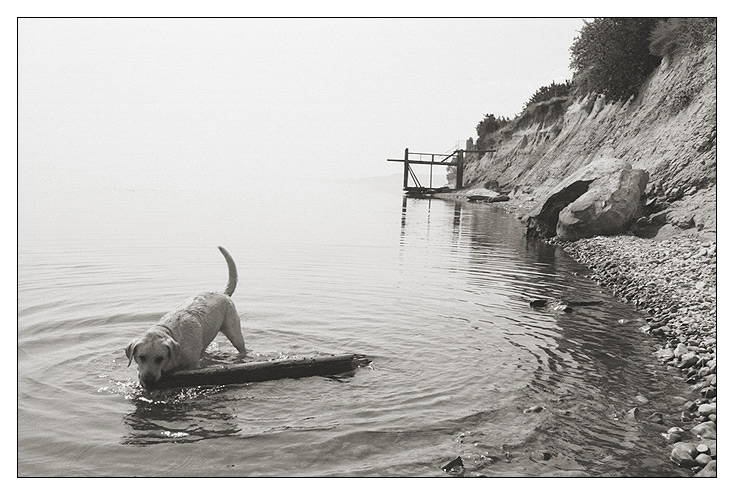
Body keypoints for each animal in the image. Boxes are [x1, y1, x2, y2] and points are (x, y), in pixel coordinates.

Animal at [126, 246, 247, 390]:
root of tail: (223, 293)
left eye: (160, 358)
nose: (148, 381)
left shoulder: (192, 365)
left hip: (234, 333)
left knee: (241, 347)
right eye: (141, 357)